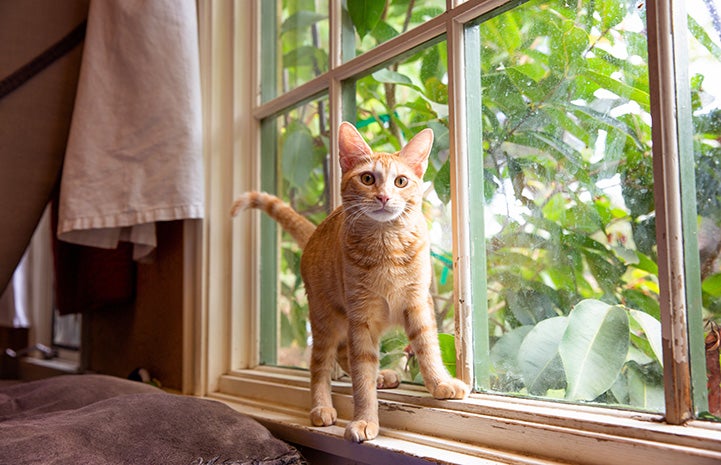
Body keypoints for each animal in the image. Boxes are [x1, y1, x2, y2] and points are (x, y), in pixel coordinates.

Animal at [229, 121, 466, 440]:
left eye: (401, 181)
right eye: (367, 178)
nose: (383, 197)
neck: (385, 246)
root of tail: (315, 232)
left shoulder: (417, 303)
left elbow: (427, 347)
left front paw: (440, 383)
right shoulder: (361, 315)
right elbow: (361, 375)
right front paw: (365, 418)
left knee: (344, 353)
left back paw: (381, 377)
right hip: (325, 319)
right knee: (320, 364)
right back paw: (321, 407)